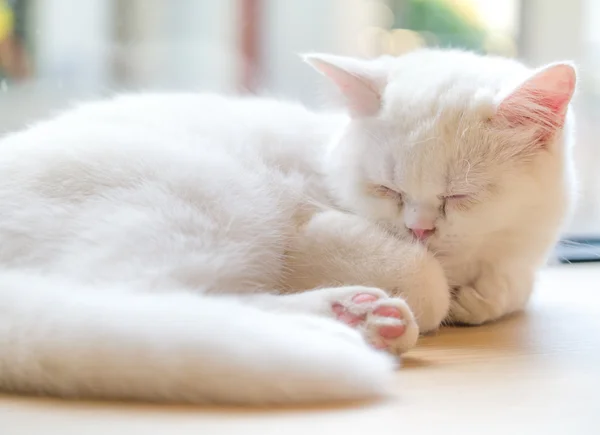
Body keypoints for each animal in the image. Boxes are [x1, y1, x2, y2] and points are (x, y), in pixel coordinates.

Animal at [0, 49, 576, 408]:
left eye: (460, 197)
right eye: (386, 190)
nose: (419, 230)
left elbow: (512, 284)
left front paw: (485, 292)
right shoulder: (311, 224)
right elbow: (426, 284)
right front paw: (441, 287)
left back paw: (358, 318)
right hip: (211, 197)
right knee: (145, 304)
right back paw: (335, 330)